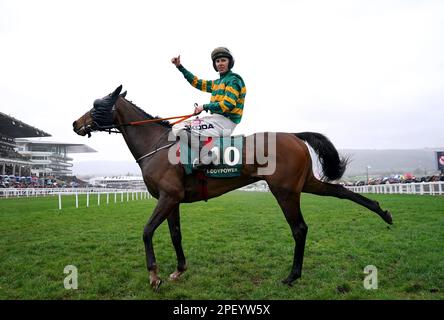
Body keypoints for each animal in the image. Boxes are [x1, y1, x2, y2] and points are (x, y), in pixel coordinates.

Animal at [72, 85, 392, 290]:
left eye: (96, 105)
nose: (76, 123)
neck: (158, 146)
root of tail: (294, 135)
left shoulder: (167, 197)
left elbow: (147, 231)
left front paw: (154, 276)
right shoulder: (172, 199)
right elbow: (175, 235)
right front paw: (178, 270)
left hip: (285, 190)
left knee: (299, 229)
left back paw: (292, 276)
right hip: (305, 183)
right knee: (340, 191)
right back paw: (383, 212)